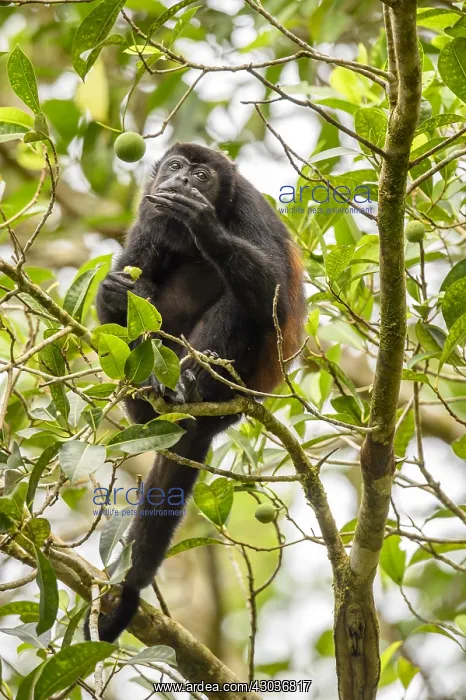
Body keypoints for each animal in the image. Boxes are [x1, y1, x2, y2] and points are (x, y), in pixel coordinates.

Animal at [88, 143, 306, 643]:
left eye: (202, 175)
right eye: (175, 166)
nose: (185, 180)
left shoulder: (248, 206)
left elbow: (275, 293)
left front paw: (205, 226)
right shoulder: (147, 215)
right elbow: (129, 279)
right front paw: (112, 290)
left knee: (241, 305)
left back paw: (190, 384)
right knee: (144, 298)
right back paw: (151, 399)